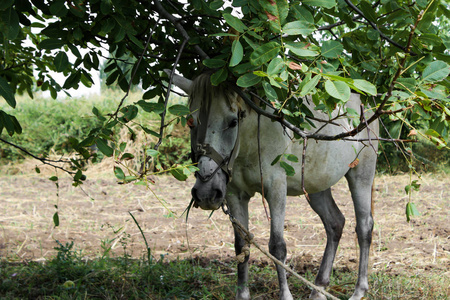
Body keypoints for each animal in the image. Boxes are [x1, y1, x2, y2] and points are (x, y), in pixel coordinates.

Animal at [167, 71, 378, 300]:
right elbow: (241, 245)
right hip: (316, 187)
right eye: (190, 122)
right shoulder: (234, 194)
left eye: (233, 122)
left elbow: (277, 247)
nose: (206, 193)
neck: (251, 140)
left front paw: (285, 296)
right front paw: (242, 295)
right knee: (335, 223)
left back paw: (359, 290)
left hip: (361, 175)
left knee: (364, 227)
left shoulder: (275, 188)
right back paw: (318, 289)